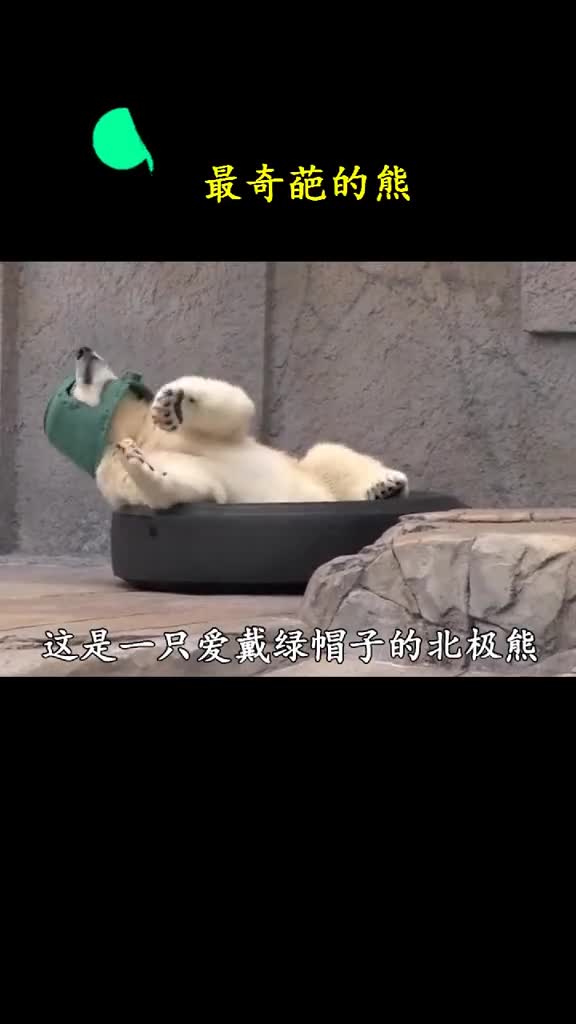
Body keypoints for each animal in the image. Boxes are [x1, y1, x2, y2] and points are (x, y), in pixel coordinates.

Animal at [70, 347, 409, 510]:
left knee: (328, 455)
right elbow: (197, 486)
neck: (135, 430)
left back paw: (385, 485)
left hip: (312, 473)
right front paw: (141, 465)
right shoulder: (108, 470)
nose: (83, 350)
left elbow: (235, 410)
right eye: (74, 383)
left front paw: (172, 403)